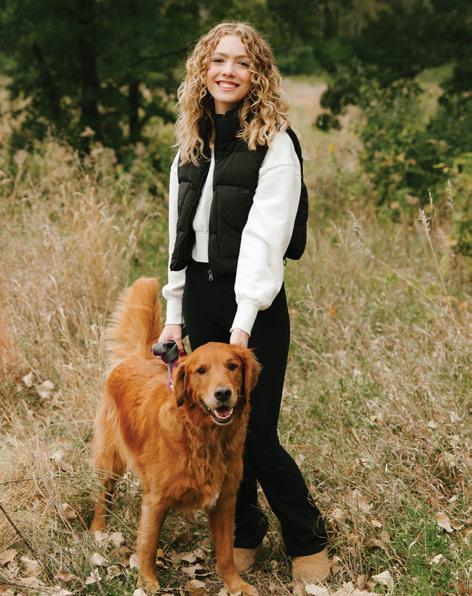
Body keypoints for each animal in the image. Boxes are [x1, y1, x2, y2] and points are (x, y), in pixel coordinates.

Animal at [91, 277, 260, 595]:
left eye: (232, 366)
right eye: (201, 370)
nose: (222, 394)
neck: (203, 437)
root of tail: (139, 357)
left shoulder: (225, 499)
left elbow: (226, 553)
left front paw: (234, 583)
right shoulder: (156, 498)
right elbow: (147, 545)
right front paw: (147, 582)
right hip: (111, 458)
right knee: (104, 493)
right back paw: (98, 529)